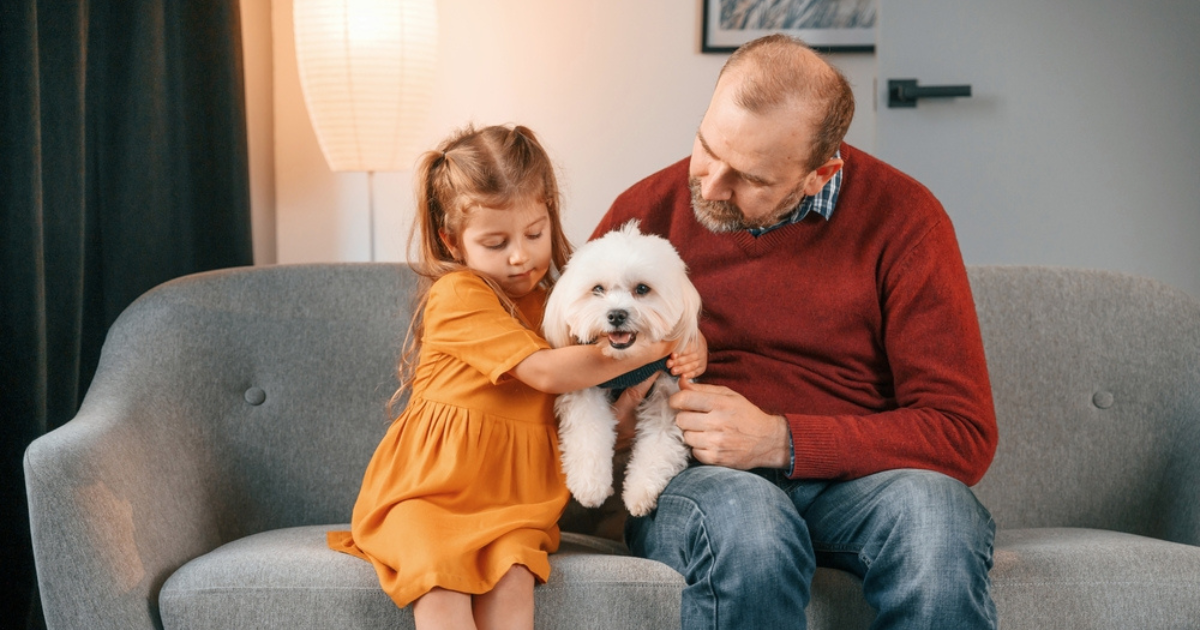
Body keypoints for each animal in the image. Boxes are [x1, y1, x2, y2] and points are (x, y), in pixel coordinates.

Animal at [544, 220, 700, 516]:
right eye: (597, 289)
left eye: (642, 289)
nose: (616, 315)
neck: (625, 366)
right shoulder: (585, 389)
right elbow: (589, 433)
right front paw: (590, 486)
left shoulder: (665, 391)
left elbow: (659, 442)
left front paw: (639, 491)